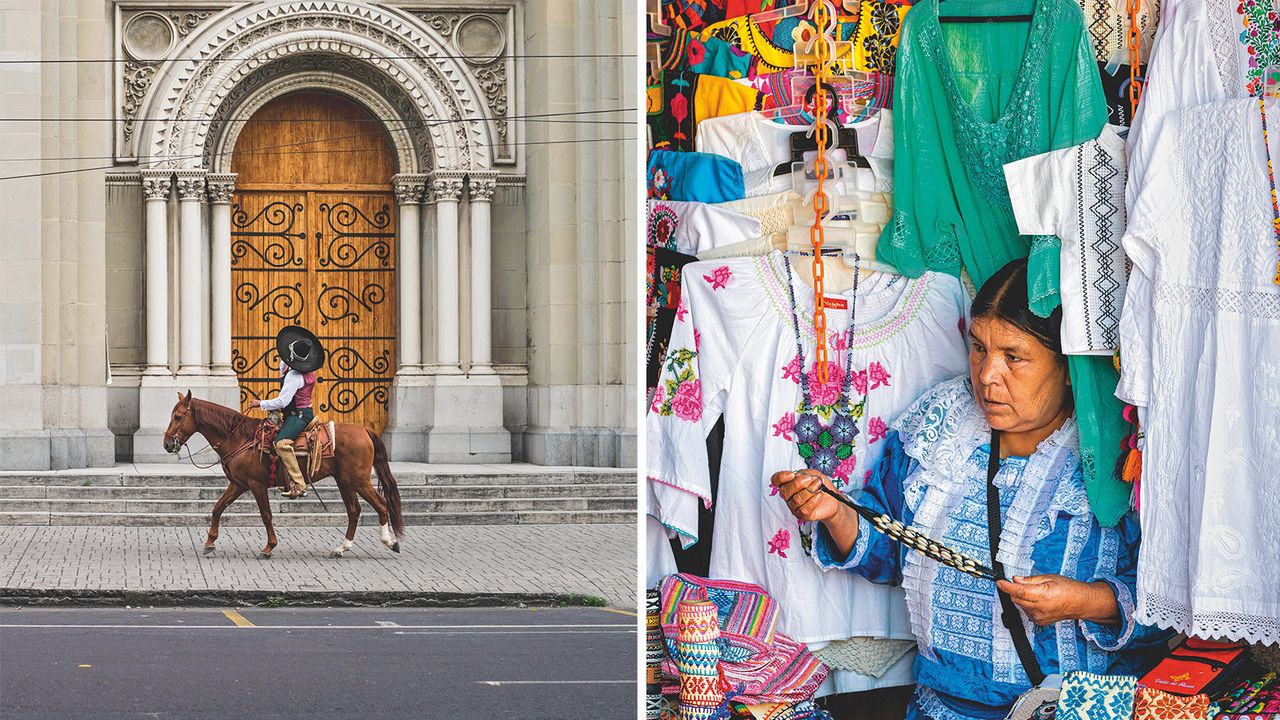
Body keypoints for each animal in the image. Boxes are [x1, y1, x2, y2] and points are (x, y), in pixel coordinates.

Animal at [158, 389, 404, 558]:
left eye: (178, 416)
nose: (167, 444)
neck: (239, 437)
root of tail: (365, 430)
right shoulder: (238, 484)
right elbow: (218, 508)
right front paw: (210, 542)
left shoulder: (256, 485)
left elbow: (266, 515)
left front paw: (269, 547)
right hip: (345, 482)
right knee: (354, 511)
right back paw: (341, 548)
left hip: (359, 481)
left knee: (381, 504)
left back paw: (390, 542)